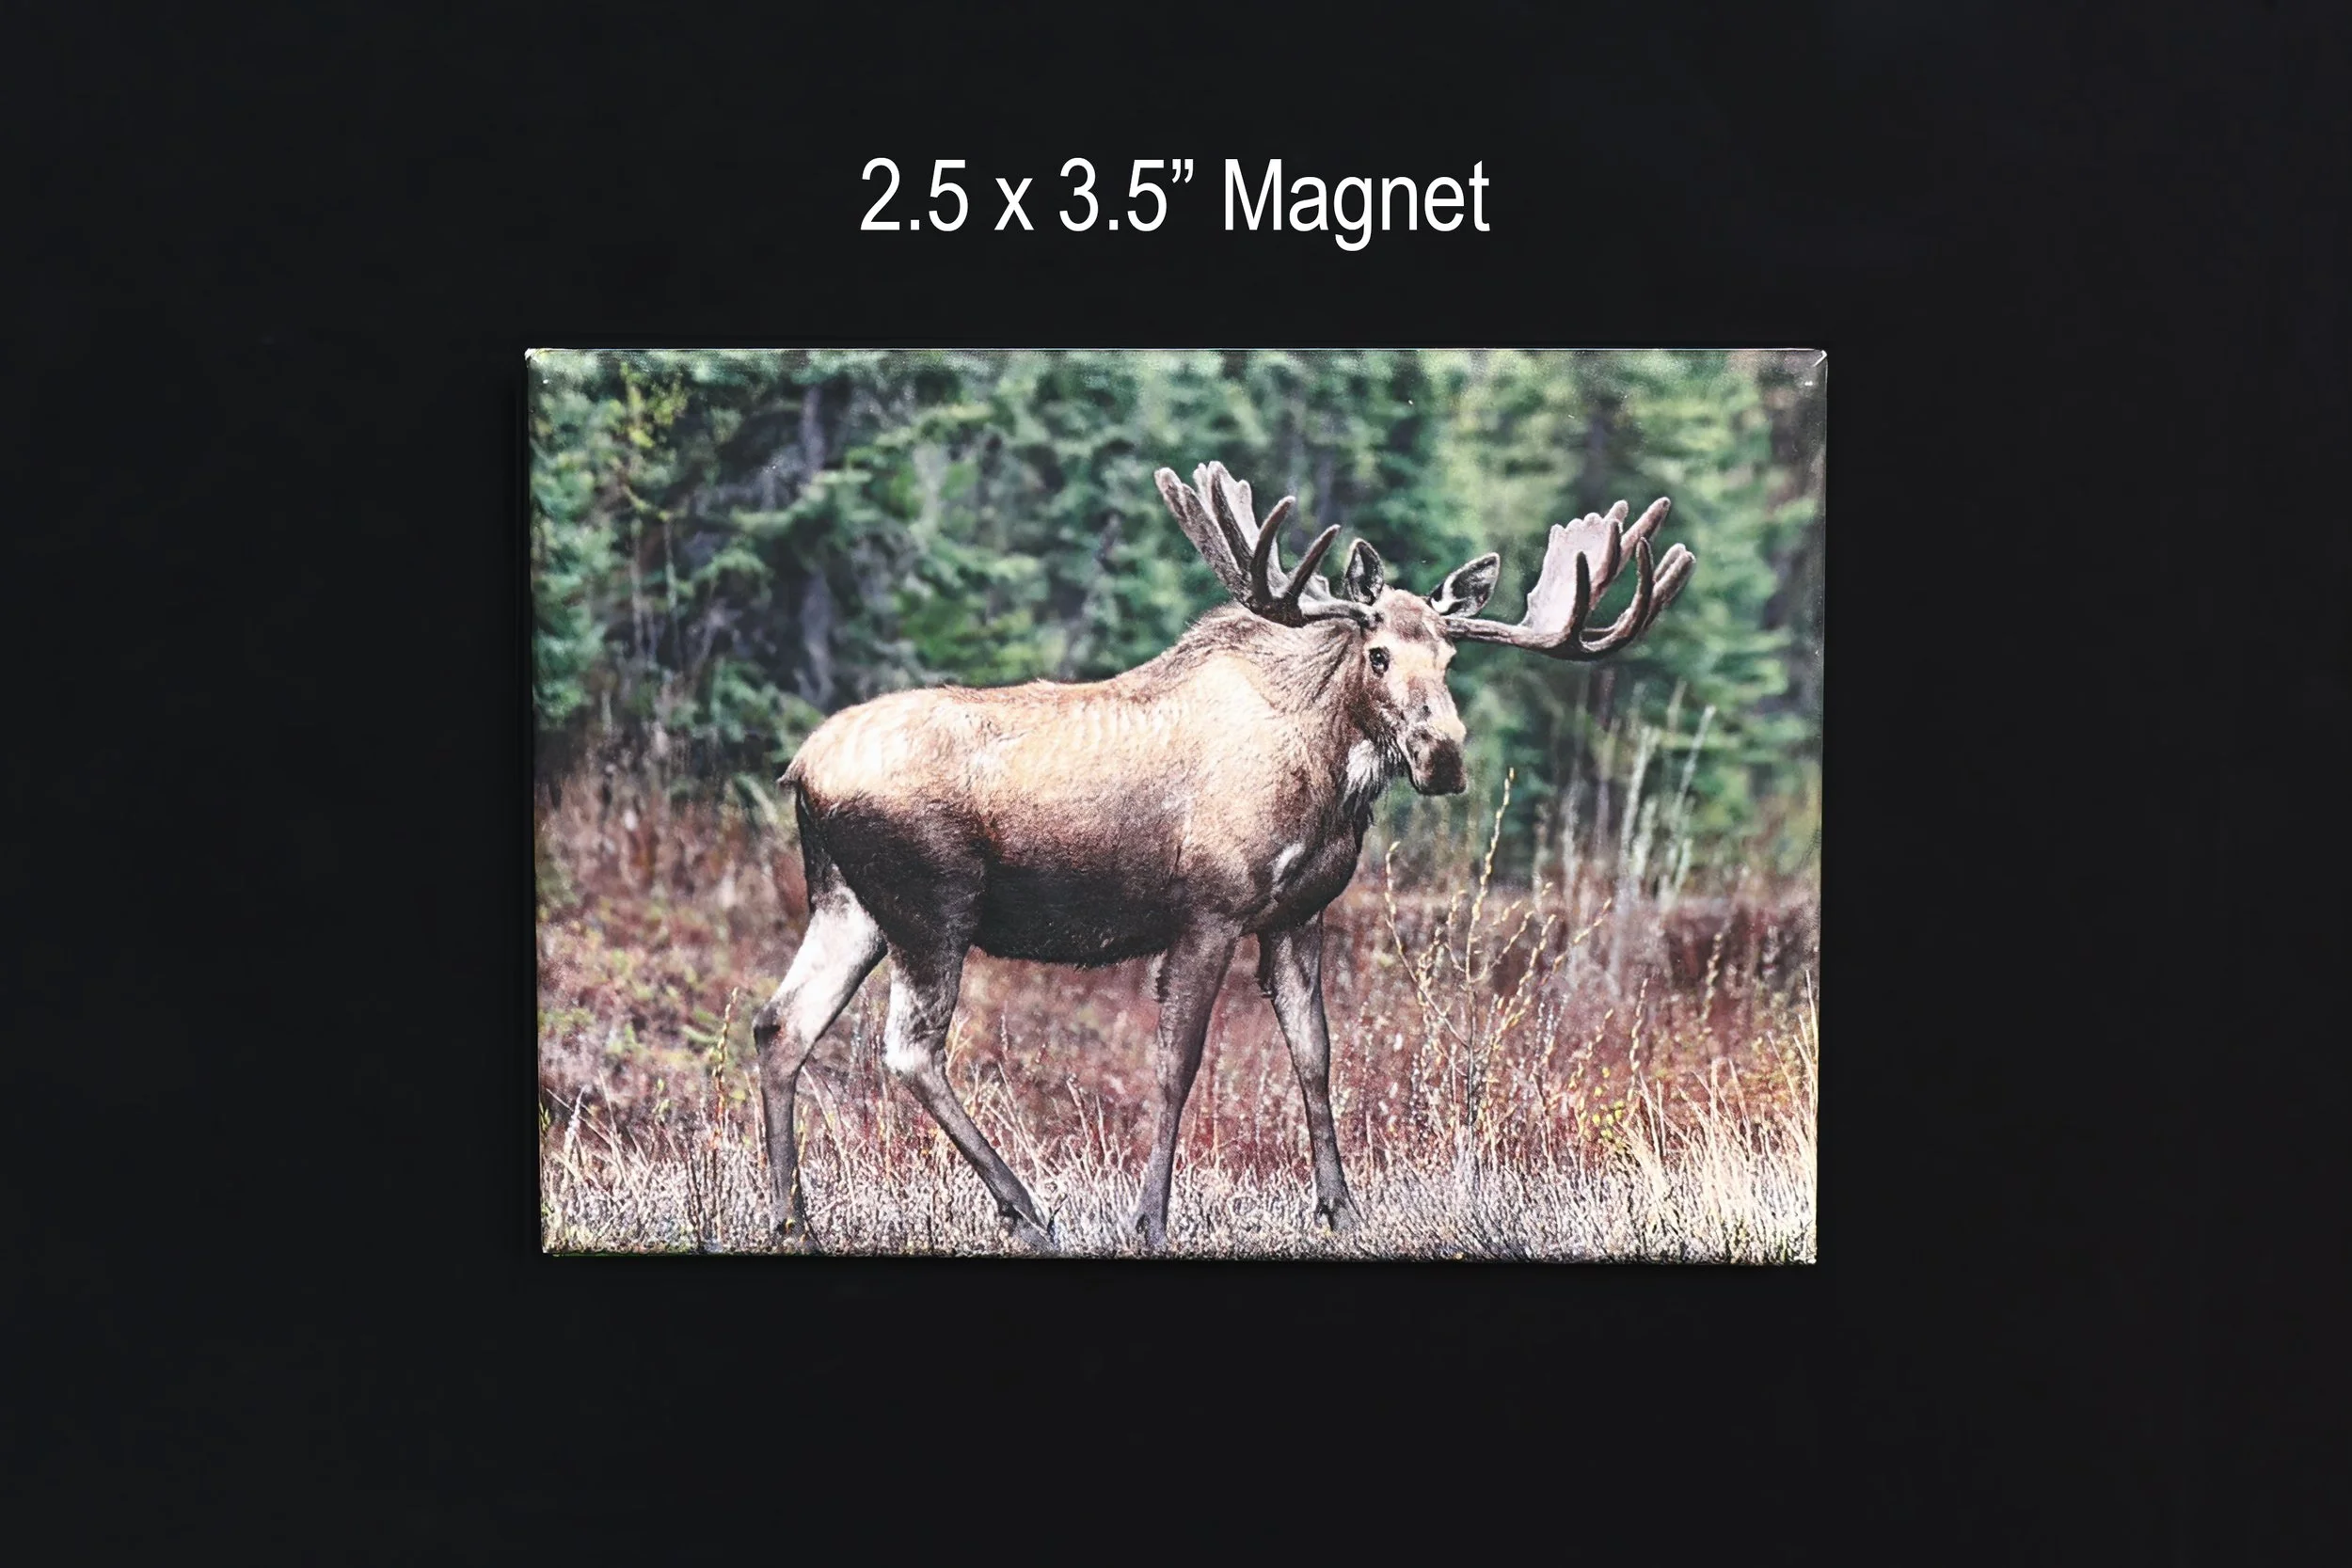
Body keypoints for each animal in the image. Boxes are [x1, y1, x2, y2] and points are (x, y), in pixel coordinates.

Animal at [752, 461, 1694, 1252]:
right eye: (1379, 652)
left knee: (781, 1024)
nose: (1443, 756)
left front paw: (1342, 1208)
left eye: (1453, 656)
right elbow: (1176, 1066)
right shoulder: (1208, 911)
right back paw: (1024, 1208)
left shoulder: (1296, 916)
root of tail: (801, 767)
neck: (1327, 778)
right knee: (909, 1048)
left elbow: (1315, 1055)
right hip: (932, 905)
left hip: (851, 905)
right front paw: (1149, 1218)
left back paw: (793, 1215)